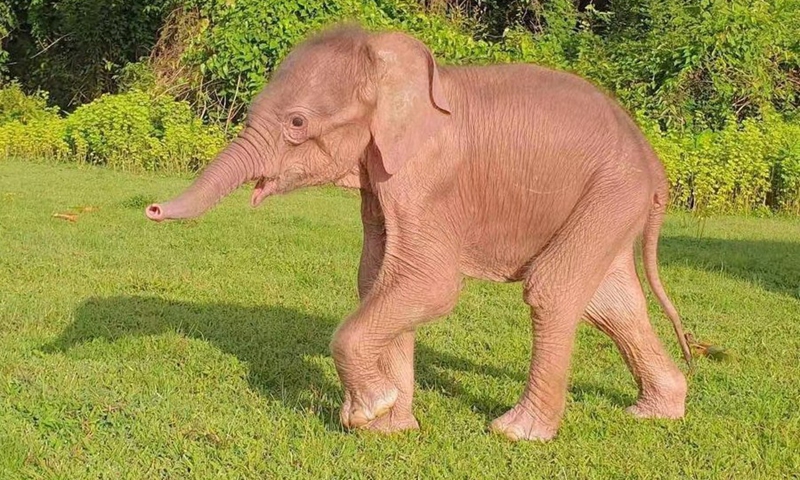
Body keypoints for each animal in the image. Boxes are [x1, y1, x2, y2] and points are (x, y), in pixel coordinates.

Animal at [145, 24, 692, 441]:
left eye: (297, 123)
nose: (151, 209)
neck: (389, 64)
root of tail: (654, 164)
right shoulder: (380, 178)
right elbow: (379, 279)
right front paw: (391, 428)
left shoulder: (426, 178)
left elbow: (428, 283)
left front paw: (368, 411)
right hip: (609, 202)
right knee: (610, 303)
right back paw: (656, 411)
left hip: (611, 190)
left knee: (554, 289)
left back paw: (516, 432)